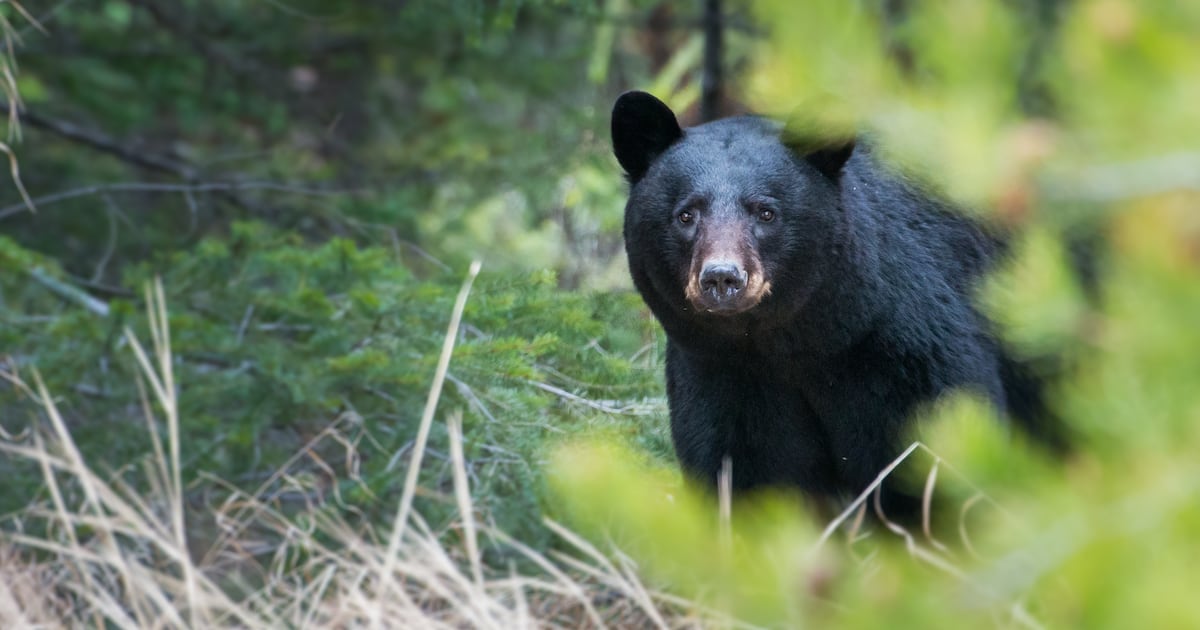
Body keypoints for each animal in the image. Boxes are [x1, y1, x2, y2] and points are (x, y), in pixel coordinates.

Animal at [611, 90, 1052, 517]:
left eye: (766, 212)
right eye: (686, 215)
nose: (723, 277)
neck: (797, 344)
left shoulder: (905, 352)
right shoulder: (722, 372)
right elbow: (747, 473)